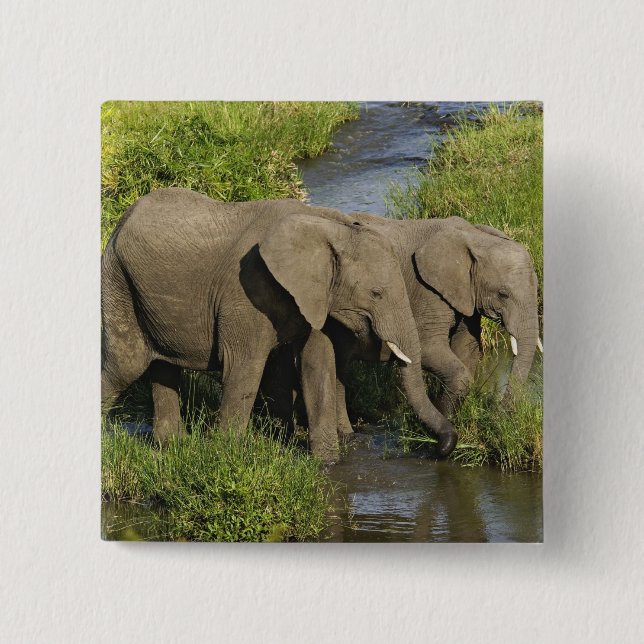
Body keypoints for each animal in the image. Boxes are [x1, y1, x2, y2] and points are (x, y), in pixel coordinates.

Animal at [101, 188, 457, 463]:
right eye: (376, 293)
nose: (440, 448)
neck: (329, 226)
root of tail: (120, 222)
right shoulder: (246, 290)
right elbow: (244, 368)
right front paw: (226, 456)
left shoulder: (313, 296)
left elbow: (317, 365)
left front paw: (328, 464)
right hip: (116, 279)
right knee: (125, 366)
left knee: (163, 367)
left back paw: (172, 447)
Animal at [260, 211, 541, 436]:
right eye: (503, 294)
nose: (499, 415)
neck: (473, 235)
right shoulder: (428, 290)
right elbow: (430, 350)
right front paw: (442, 423)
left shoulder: (464, 295)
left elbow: (469, 350)